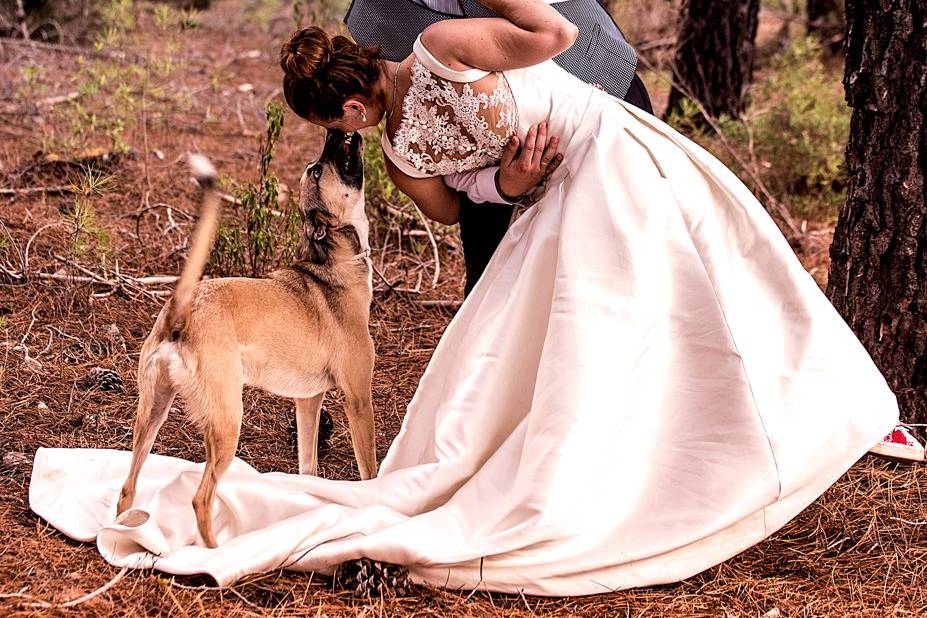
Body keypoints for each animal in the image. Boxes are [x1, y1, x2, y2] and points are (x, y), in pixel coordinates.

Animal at [117, 129, 376, 544]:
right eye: (318, 170)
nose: (335, 131)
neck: (334, 262)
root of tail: (183, 310)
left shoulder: (308, 402)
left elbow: (307, 467)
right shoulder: (358, 398)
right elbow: (370, 470)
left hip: (152, 411)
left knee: (128, 486)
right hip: (226, 422)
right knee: (201, 499)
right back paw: (215, 554)